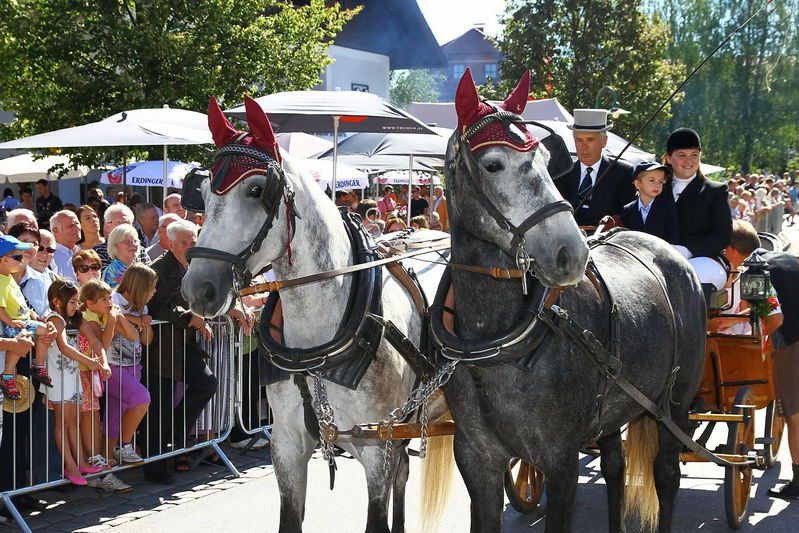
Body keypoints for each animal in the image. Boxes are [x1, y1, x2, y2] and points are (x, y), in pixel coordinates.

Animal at [180, 97, 453, 533]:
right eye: (203, 193)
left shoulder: (377, 445)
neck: (318, 345)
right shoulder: (288, 445)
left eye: (257, 190)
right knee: (405, 473)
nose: (199, 289)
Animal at [435, 69, 706, 532]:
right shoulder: (476, 459)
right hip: (616, 407)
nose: (571, 253)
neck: (496, 343)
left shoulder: (560, 462)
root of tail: (668, 252)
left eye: (547, 161)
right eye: (492, 164)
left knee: (666, 474)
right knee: (615, 467)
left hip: (673, 406)